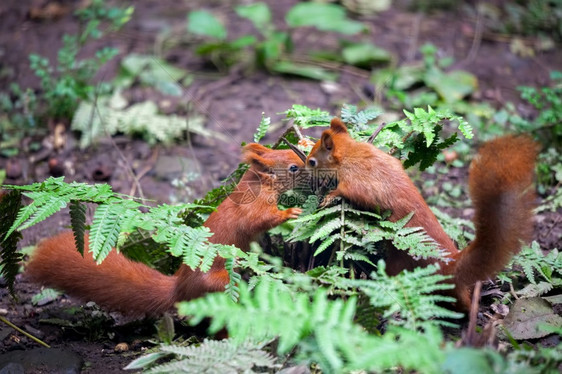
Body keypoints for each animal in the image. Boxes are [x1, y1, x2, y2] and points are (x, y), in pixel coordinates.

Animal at [26, 143, 302, 316]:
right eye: (293, 167)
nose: (307, 156)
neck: (255, 185)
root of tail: (179, 289)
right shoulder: (251, 210)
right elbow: (260, 220)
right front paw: (290, 213)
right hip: (217, 282)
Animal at [304, 118, 536, 312]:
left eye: (312, 162)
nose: (302, 170)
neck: (351, 152)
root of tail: (451, 265)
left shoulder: (359, 180)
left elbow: (350, 192)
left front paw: (330, 195)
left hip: (402, 263)